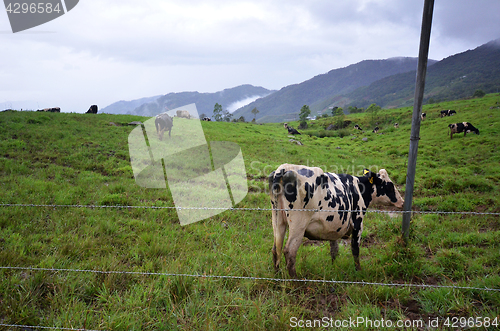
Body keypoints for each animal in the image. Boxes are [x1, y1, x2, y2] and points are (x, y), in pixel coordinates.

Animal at [268, 164, 404, 278]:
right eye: (390, 185)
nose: (402, 202)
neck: (358, 188)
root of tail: (284, 168)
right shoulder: (358, 222)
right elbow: (355, 249)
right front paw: (358, 271)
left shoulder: (332, 228)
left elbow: (334, 250)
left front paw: (333, 268)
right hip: (298, 225)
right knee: (289, 251)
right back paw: (295, 281)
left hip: (278, 220)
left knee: (275, 249)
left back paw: (277, 276)